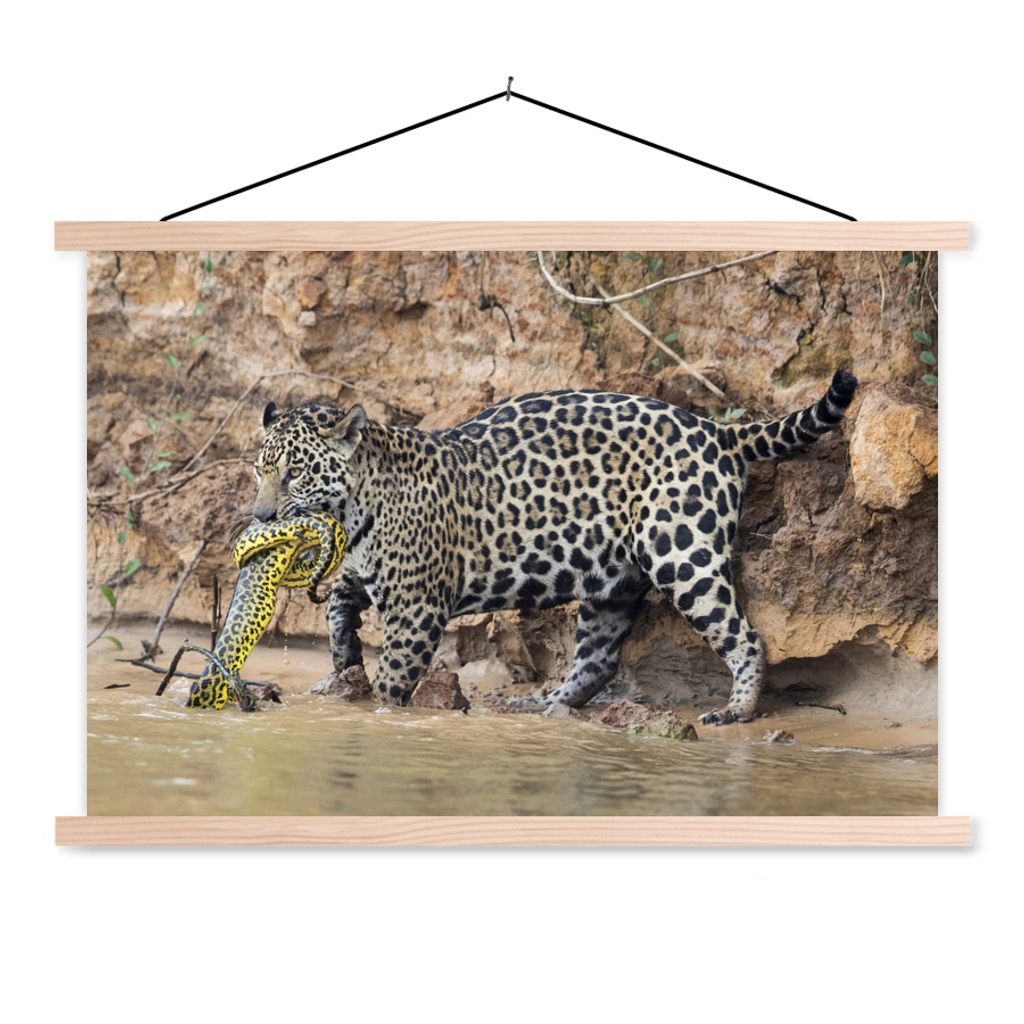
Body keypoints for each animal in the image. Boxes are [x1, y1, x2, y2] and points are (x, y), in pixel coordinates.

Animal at [252, 369, 858, 724]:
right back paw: (545, 704)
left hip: (681, 554)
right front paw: (343, 658)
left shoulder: (416, 605)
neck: (356, 503)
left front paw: (378, 708)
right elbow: (338, 601)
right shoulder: (372, 573)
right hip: (613, 581)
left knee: (745, 636)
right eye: (260, 470)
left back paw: (736, 710)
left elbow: (396, 674)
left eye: (294, 474)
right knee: (598, 659)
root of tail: (718, 431)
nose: (260, 516)